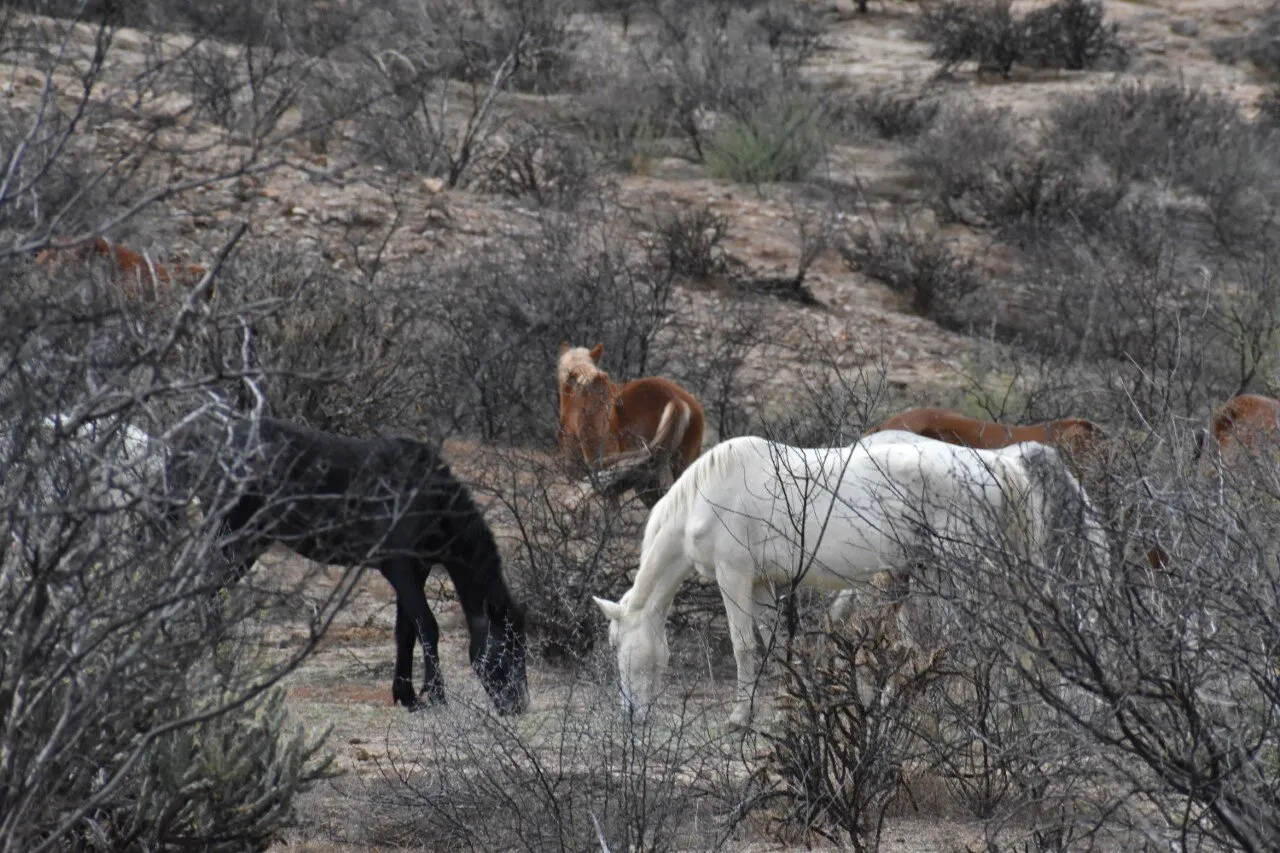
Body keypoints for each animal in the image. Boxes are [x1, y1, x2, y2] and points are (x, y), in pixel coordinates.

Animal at [171, 417, 529, 715]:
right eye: (507, 647)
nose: (519, 706)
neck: (430, 496)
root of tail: (201, 437)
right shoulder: (398, 567)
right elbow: (427, 626)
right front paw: (436, 696)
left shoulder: (416, 571)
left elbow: (406, 631)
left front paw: (407, 696)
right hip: (232, 535)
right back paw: (217, 668)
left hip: (250, 543)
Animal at [593, 431, 1106, 727]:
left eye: (617, 647)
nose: (630, 715)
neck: (710, 494)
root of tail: (999, 466)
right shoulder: (762, 583)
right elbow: (775, 643)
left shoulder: (733, 577)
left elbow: (744, 647)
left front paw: (740, 716)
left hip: (967, 571)